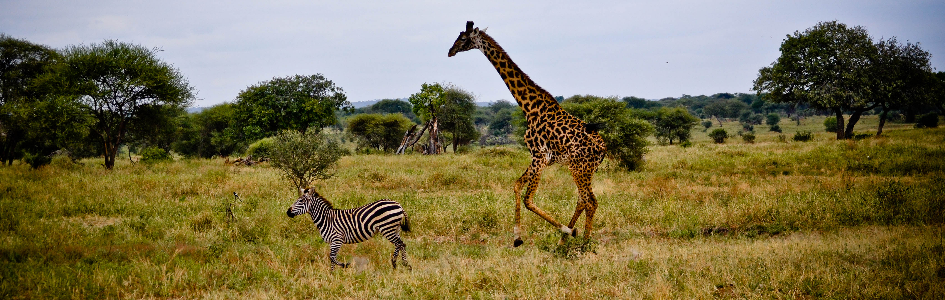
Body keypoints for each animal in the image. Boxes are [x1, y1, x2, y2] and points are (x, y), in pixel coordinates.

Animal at [448, 20, 604, 246]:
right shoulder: (539, 159)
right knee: (584, 201)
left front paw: (566, 230)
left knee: (589, 201)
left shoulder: (539, 156)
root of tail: (603, 149)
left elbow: (528, 199)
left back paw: (581, 242)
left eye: (462, 38)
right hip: (584, 170)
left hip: (578, 168)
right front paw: (517, 238)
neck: (529, 107)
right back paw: (569, 241)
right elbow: (516, 185)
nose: (450, 51)